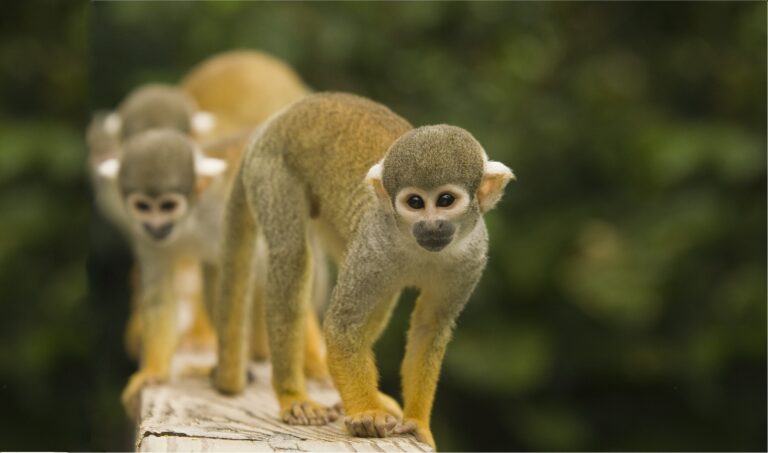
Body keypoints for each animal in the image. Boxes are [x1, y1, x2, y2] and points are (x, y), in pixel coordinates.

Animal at [214, 92, 514, 448]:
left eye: (445, 200)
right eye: (415, 203)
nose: (431, 226)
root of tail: (275, 121)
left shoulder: (472, 257)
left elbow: (430, 327)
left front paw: (416, 422)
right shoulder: (374, 245)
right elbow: (344, 325)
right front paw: (367, 413)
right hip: (272, 170)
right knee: (292, 257)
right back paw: (293, 395)